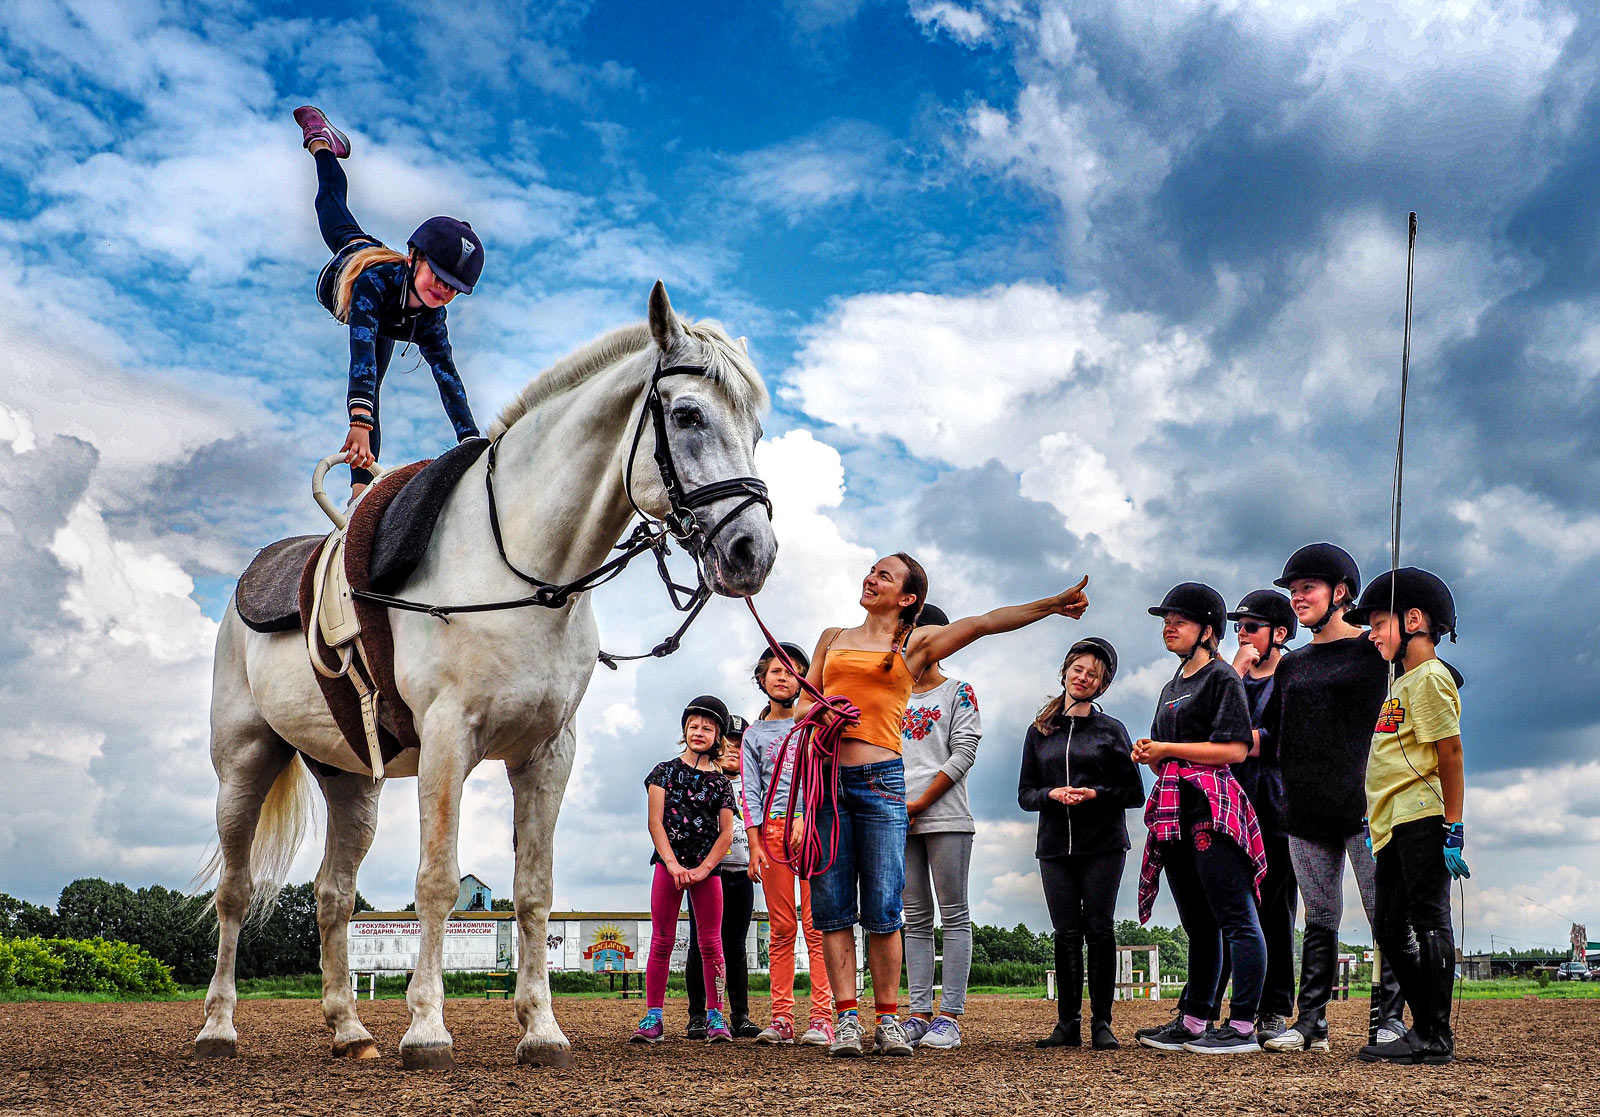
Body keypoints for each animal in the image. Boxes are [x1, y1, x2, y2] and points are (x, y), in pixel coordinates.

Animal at [193, 283, 780, 1068]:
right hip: (245, 761)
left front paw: (542, 1028)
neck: (528, 572)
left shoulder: (547, 754)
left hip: (353, 782)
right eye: (687, 414)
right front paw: (426, 1028)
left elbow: (533, 891)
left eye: (754, 428)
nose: (753, 551)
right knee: (235, 889)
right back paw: (219, 1026)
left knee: (332, 894)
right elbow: (438, 882)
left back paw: (349, 1028)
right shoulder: (450, 742)